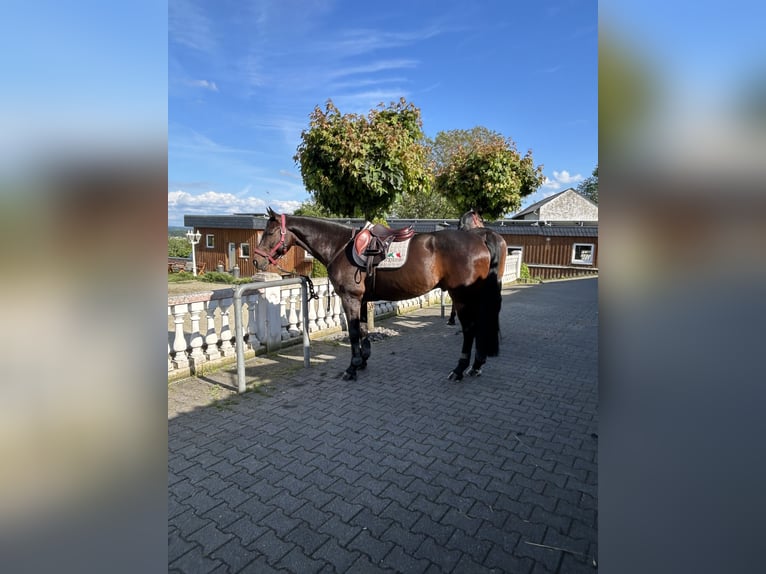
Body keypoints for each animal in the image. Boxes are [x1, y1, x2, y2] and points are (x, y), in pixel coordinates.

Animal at [255, 210, 508, 382]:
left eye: (270, 232)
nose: (257, 261)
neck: (339, 246)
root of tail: (479, 238)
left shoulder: (350, 298)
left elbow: (354, 332)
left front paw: (352, 367)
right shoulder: (361, 299)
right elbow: (363, 330)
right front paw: (363, 360)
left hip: (462, 296)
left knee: (470, 329)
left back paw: (459, 369)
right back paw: (476, 365)